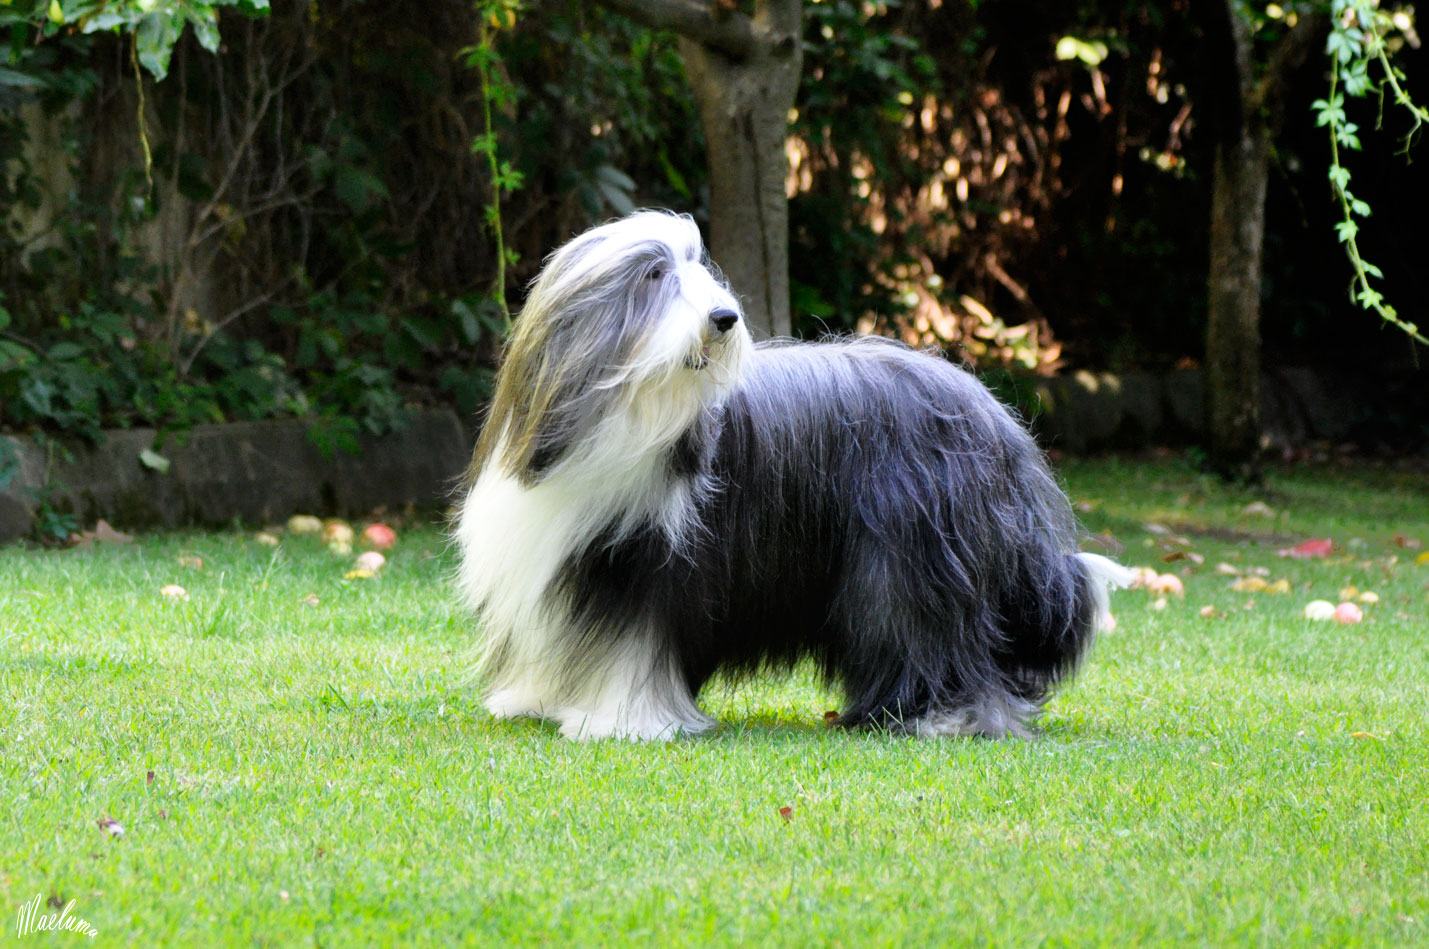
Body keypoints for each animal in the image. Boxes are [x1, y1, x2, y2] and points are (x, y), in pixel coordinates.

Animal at [454, 210, 1126, 743]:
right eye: (654, 275)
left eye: (699, 270)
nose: (724, 316)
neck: (620, 420)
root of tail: (991, 411)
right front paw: (533, 699)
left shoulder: (645, 567)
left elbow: (631, 647)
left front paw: (622, 722)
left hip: (915, 560)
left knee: (931, 634)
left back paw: (945, 715)